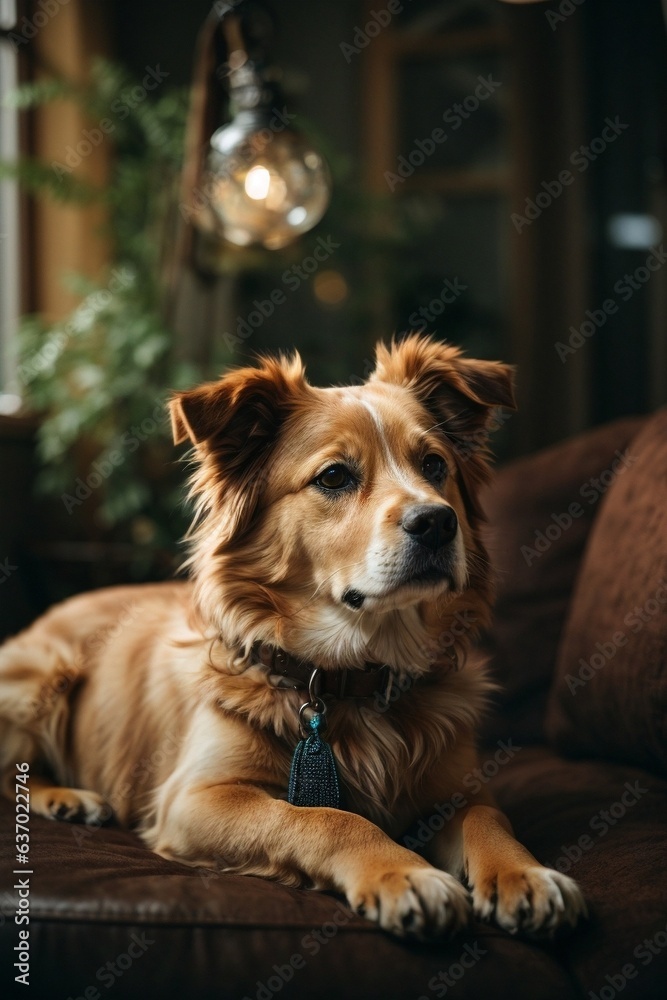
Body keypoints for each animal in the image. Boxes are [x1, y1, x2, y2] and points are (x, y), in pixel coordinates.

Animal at [0, 334, 584, 936]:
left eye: (434, 464)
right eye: (334, 477)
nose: (438, 522)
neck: (353, 678)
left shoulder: (459, 789)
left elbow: (488, 818)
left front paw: (525, 874)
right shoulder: (194, 798)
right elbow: (324, 818)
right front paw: (404, 873)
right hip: (44, 673)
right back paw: (67, 797)